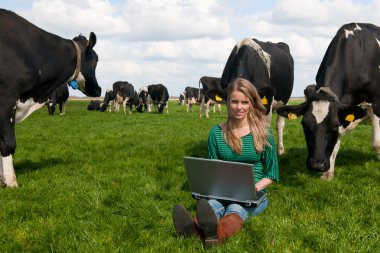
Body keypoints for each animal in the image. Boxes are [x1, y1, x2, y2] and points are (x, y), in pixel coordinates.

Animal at [276, 22, 380, 180]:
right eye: (304, 125)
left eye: (334, 125)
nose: (317, 165)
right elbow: (336, 143)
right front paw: (328, 173)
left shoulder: (376, 102)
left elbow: (376, 144)